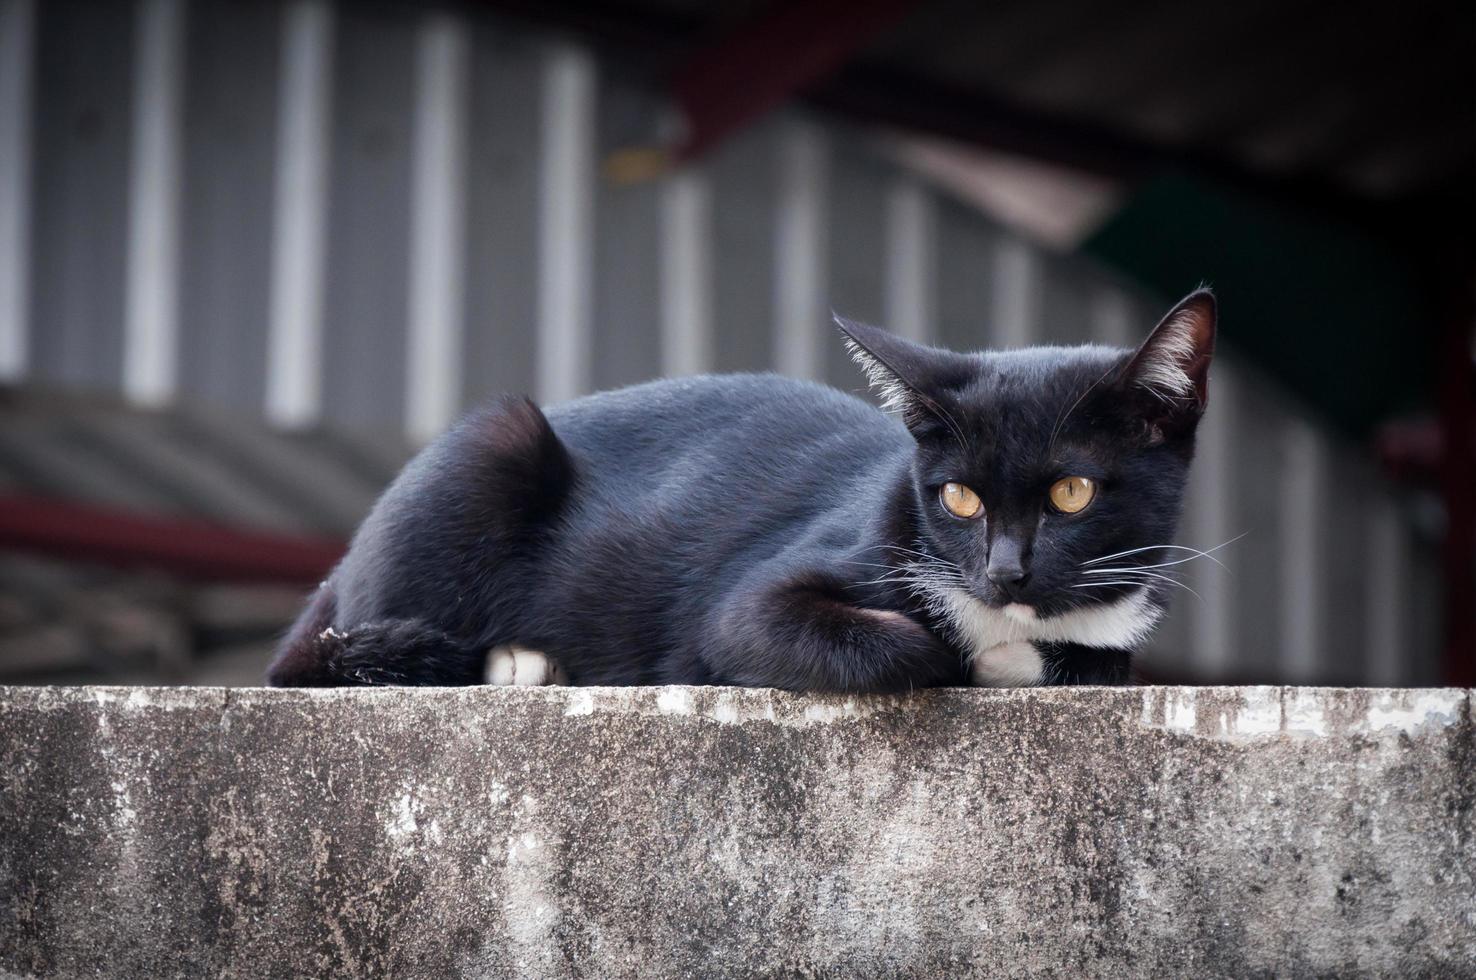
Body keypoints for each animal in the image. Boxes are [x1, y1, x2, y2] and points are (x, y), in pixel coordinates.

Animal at [271, 289, 1216, 687]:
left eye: (1072, 494)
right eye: (959, 500)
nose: (1004, 572)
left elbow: (1105, 661)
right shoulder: (754, 601)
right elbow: (840, 638)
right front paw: (959, 652)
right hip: (489, 447)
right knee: (305, 664)